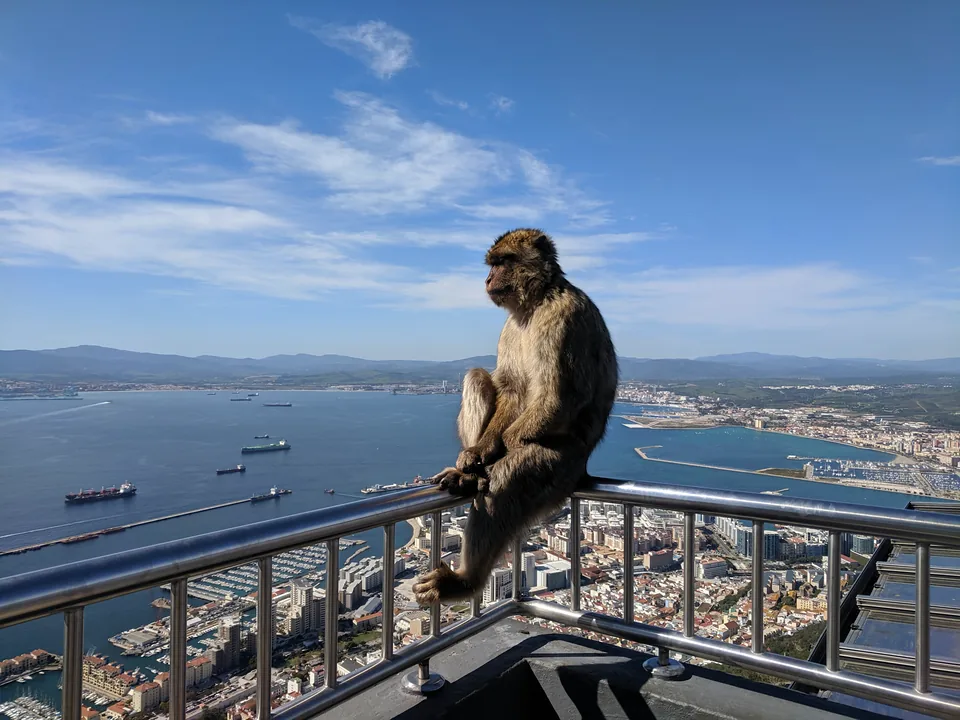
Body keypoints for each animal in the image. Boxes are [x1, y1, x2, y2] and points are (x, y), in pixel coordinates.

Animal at [413, 228, 618, 604]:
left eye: (503, 262)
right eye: (491, 264)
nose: (487, 279)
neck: (534, 303)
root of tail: (582, 467)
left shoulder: (563, 317)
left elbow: (559, 395)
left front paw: (501, 452)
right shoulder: (510, 326)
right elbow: (509, 388)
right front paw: (479, 454)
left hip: (560, 466)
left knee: (507, 481)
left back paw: (465, 581)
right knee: (477, 378)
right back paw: (469, 469)